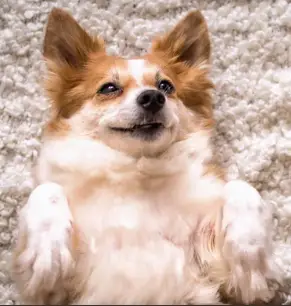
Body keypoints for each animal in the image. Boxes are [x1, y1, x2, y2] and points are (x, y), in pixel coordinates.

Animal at [12, 7, 282, 304]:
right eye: (109, 88)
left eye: (166, 86)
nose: (153, 97)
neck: (137, 168)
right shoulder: (49, 292)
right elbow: (47, 190)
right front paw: (47, 253)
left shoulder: (230, 286)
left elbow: (241, 187)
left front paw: (249, 254)